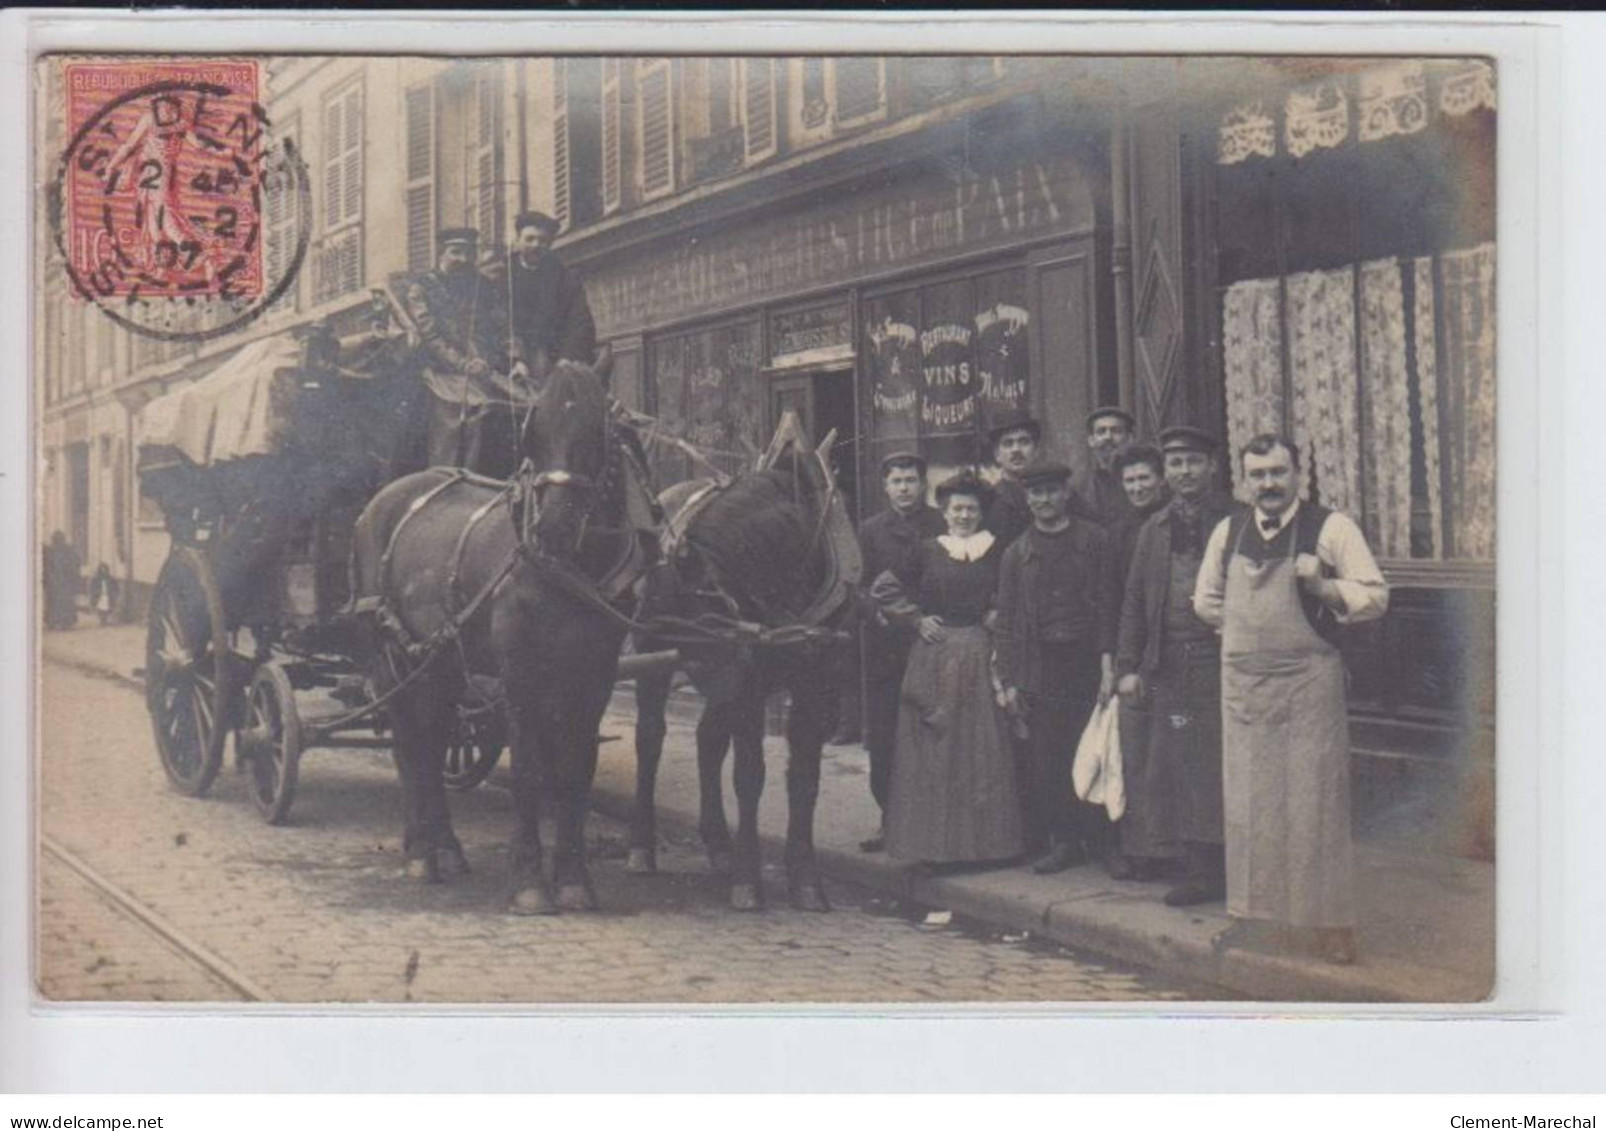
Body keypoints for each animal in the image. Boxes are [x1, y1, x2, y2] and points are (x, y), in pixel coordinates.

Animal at [348, 359, 635, 912]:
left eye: (597, 430)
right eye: (532, 432)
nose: (554, 529)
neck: (567, 572)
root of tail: (381, 500)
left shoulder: (596, 677)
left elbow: (575, 769)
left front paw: (574, 879)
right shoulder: (519, 678)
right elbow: (528, 769)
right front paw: (529, 882)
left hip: (439, 661)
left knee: (433, 739)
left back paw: (444, 846)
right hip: (390, 656)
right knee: (408, 742)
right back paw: (421, 852)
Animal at [626, 446, 860, 912]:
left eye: (697, 619)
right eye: (654, 606)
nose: (642, 625)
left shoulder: (814, 683)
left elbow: (804, 779)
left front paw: (805, 878)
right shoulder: (745, 685)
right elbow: (749, 777)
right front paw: (749, 879)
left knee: (708, 741)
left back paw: (718, 844)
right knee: (650, 739)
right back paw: (643, 844)